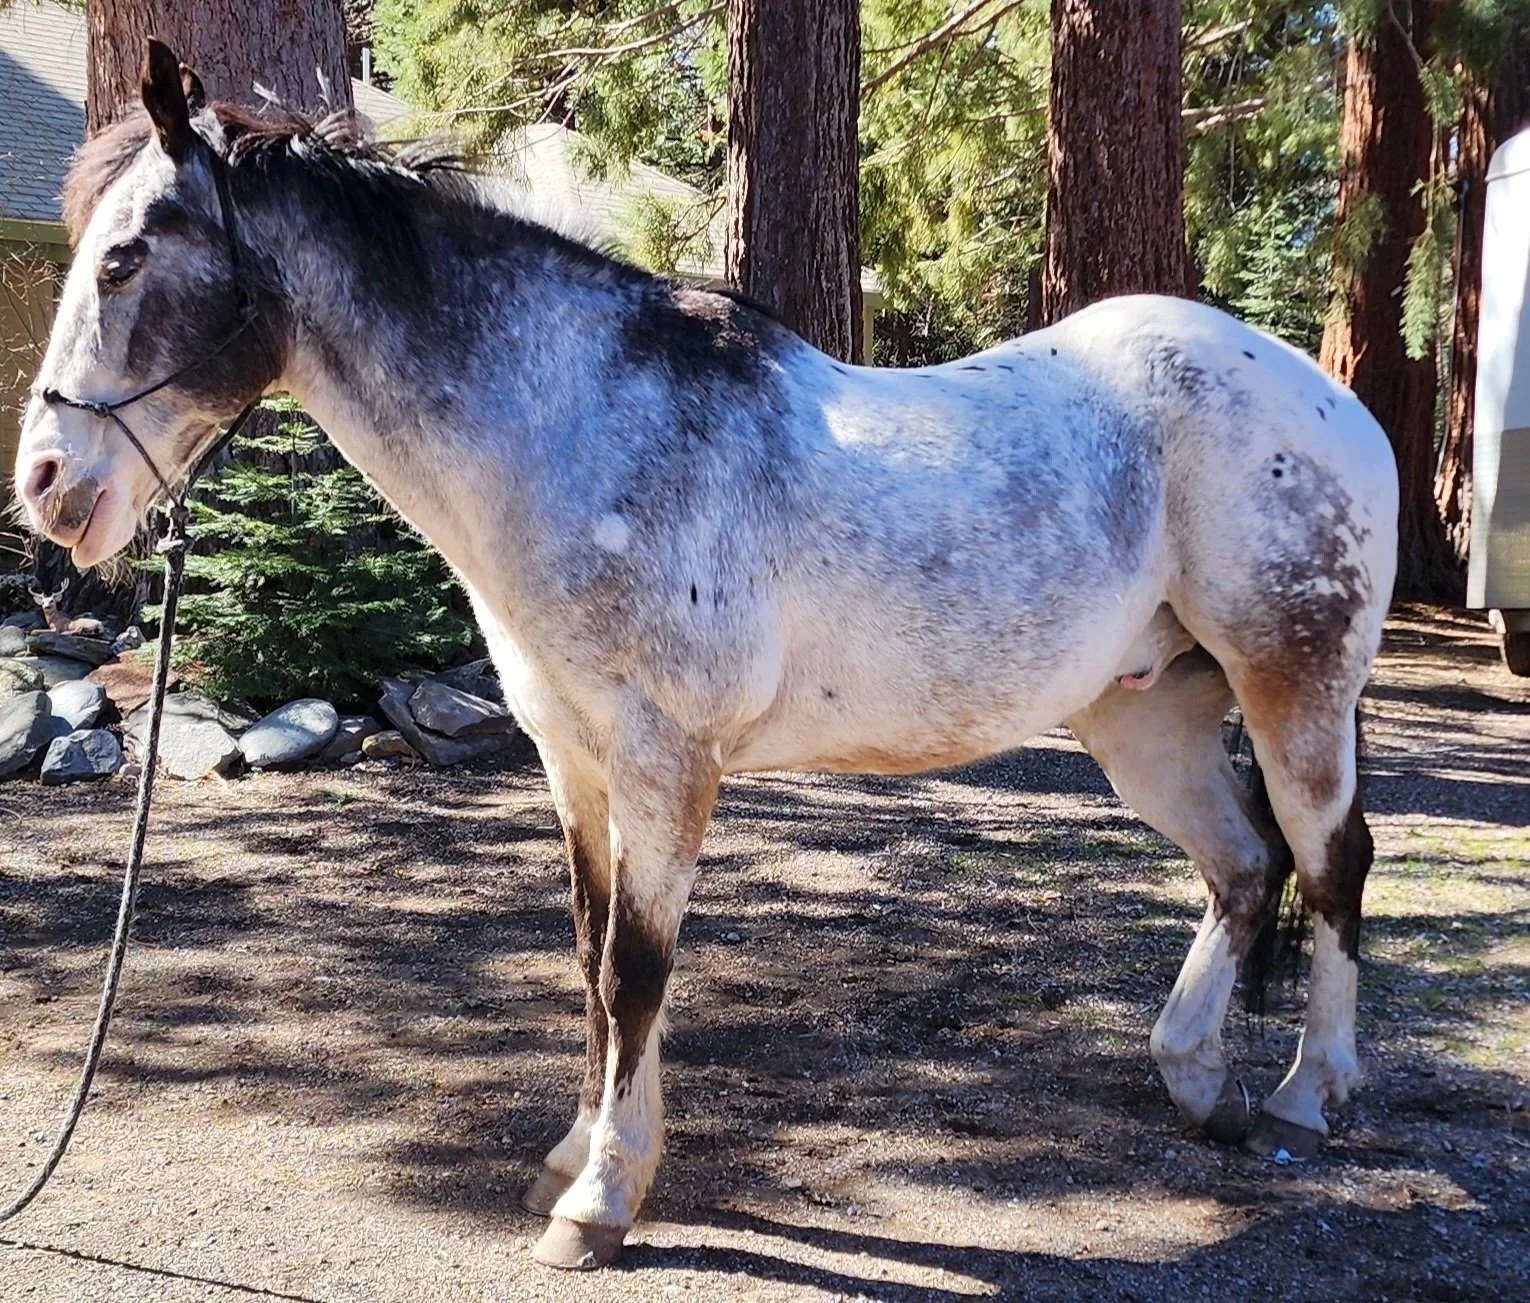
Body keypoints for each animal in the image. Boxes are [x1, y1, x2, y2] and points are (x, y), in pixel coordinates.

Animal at [15, 42, 1397, 1270]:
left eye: (128, 256)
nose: (44, 485)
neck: (574, 428)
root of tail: (1329, 396)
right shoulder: (570, 758)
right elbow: (590, 955)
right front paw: (573, 1157)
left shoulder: (667, 760)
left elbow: (638, 968)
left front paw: (602, 1204)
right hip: (1144, 717)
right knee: (1242, 867)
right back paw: (1196, 1079)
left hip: (1294, 687)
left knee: (1330, 862)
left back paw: (1308, 1095)